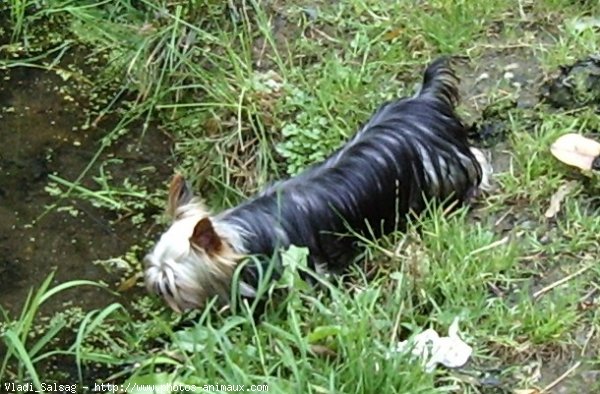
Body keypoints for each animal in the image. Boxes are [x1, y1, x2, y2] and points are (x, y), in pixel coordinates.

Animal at [143, 57, 490, 312]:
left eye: (172, 285)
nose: (161, 298)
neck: (244, 235)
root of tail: (424, 100)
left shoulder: (307, 269)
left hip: (442, 168)